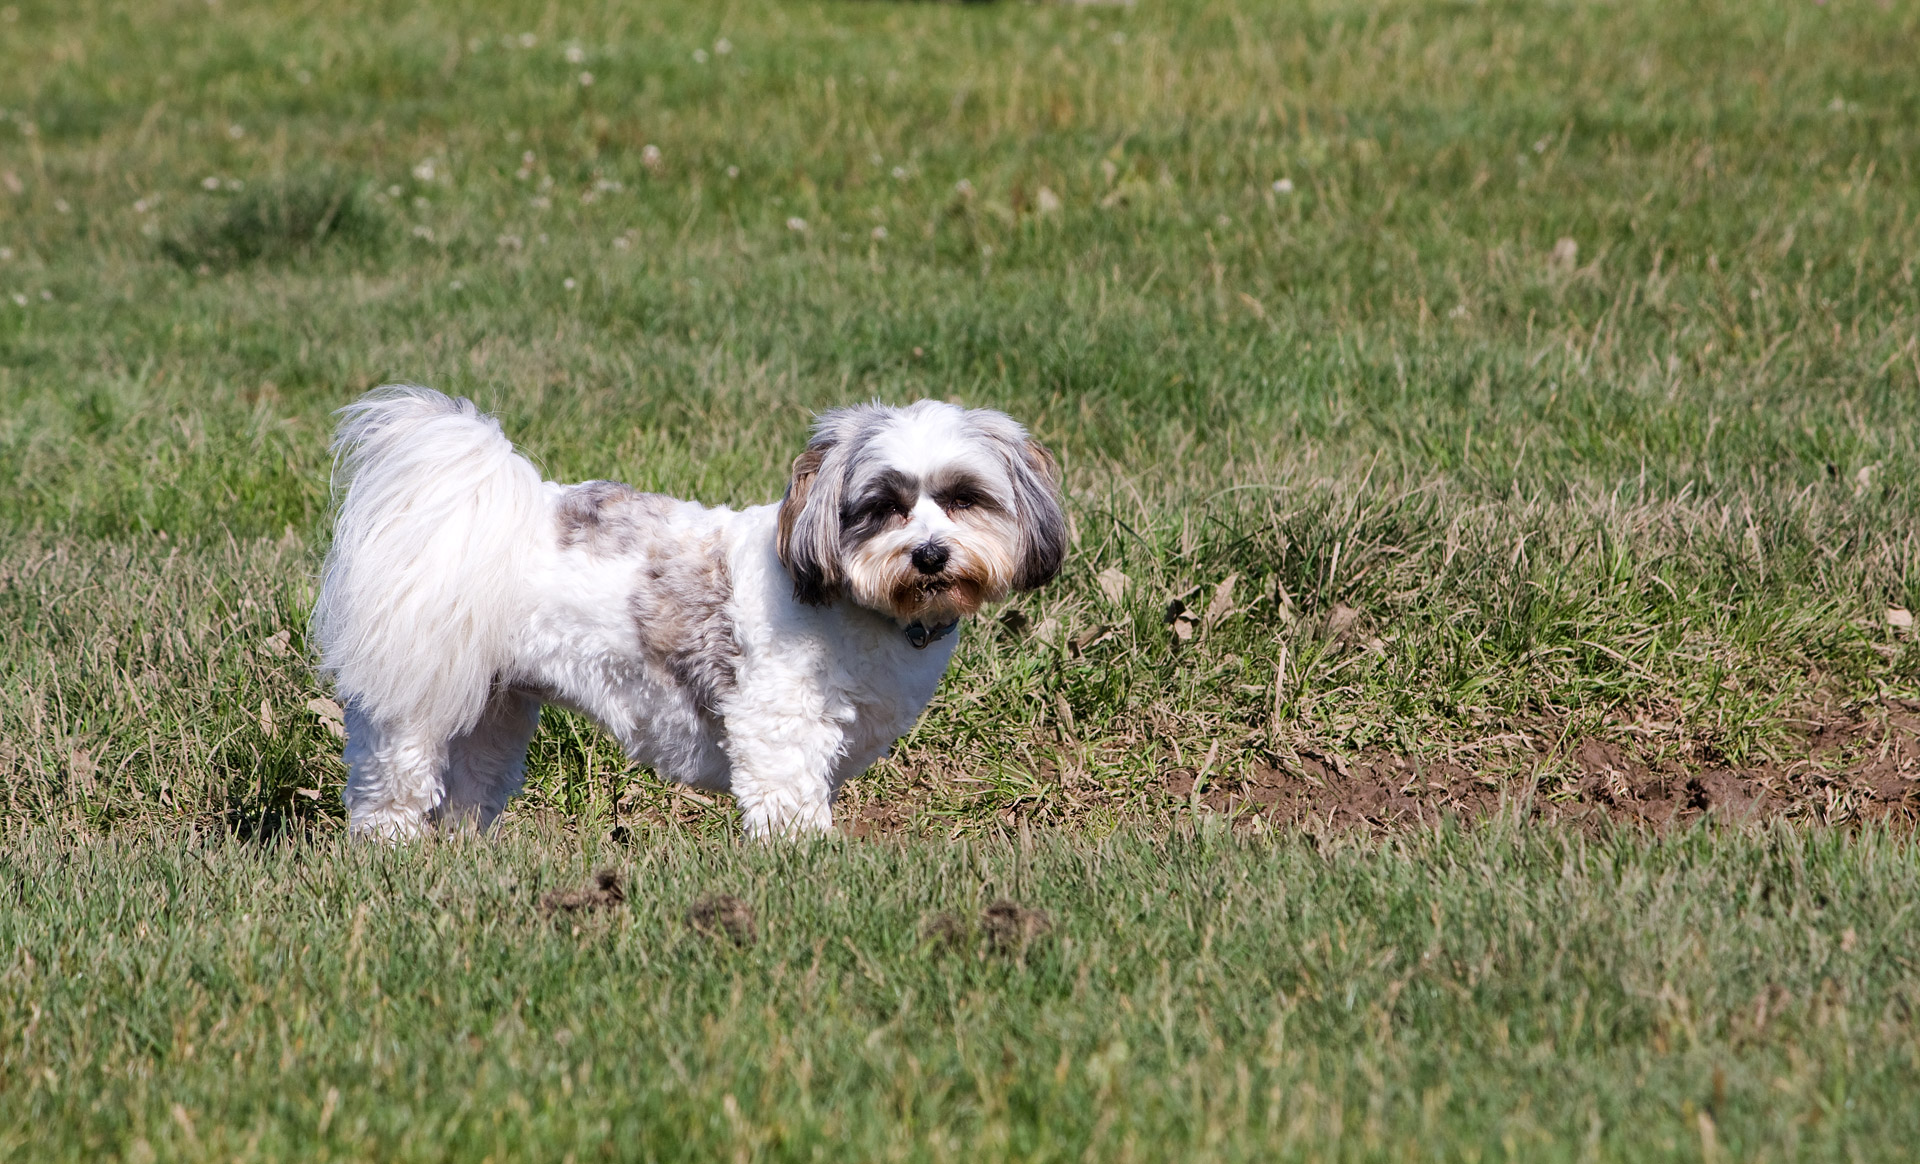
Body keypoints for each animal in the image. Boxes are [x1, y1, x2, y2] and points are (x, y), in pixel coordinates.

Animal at [309, 389, 1075, 837]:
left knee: (469, 785)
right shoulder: (779, 722)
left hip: (488, 705)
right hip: (415, 697)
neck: (856, 605)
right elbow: (788, 799)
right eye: (883, 506)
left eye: (964, 498)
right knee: (393, 786)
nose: (929, 554)